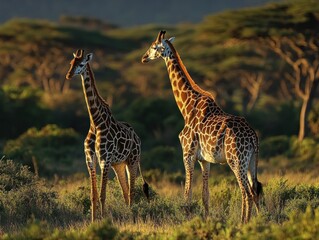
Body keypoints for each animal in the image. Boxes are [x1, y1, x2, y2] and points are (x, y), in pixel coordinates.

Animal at [66, 49, 150, 222]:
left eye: (81, 64)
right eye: (71, 63)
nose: (69, 75)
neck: (95, 122)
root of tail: (138, 138)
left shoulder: (104, 158)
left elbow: (102, 195)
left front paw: (103, 220)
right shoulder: (90, 159)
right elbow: (93, 195)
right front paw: (93, 221)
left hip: (133, 160)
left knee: (132, 191)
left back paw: (131, 215)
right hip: (119, 164)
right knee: (125, 191)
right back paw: (127, 214)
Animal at [142, 30, 262, 223]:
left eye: (154, 46)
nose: (144, 57)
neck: (186, 106)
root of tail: (253, 137)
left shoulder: (187, 154)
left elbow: (187, 193)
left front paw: (187, 219)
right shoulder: (205, 160)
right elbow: (205, 195)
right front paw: (206, 220)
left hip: (236, 160)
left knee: (247, 193)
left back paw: (244, 222)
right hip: (251, 160)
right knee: (255, 191)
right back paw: (259, 221)